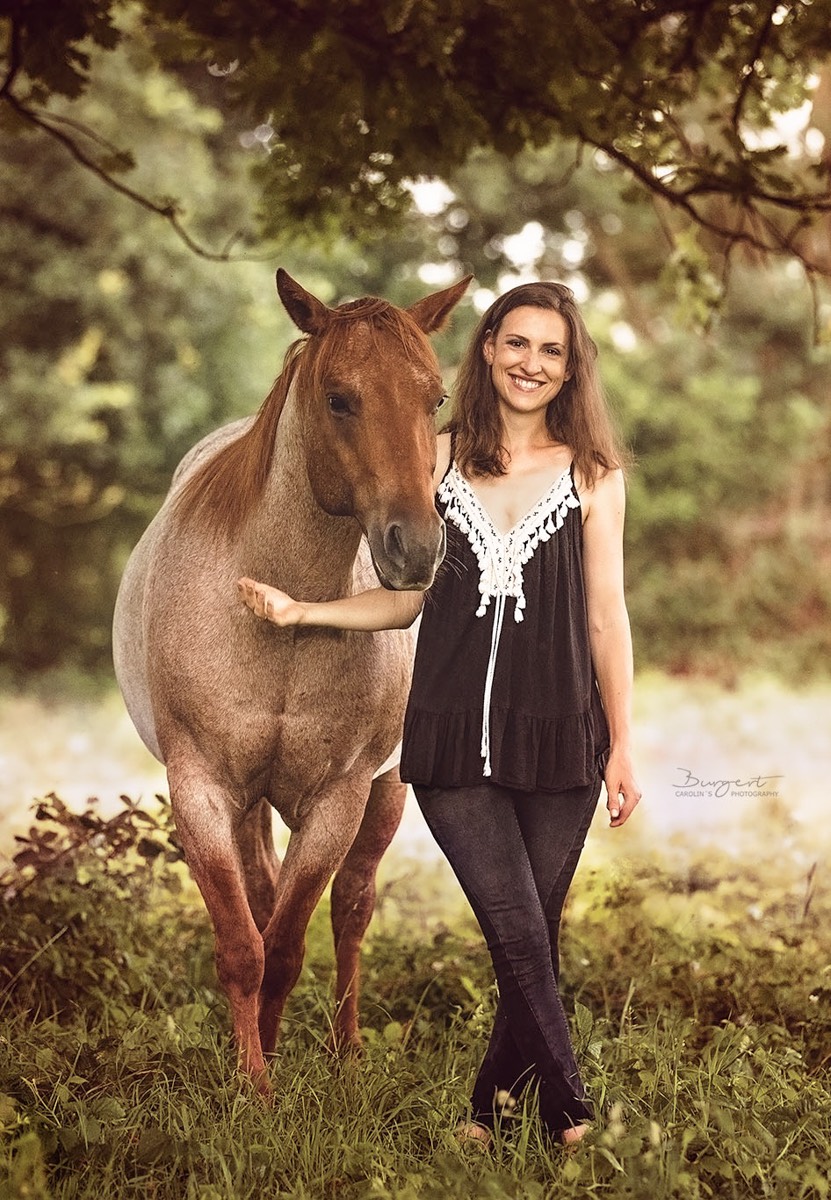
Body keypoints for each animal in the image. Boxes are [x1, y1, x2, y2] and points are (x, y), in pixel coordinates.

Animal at [113, 267, 470, 1094]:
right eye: (338, 398)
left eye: (435, 398)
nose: (416, 550)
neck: (281, 615)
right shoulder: (202, 791)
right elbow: (244, 943)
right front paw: (252, 1083)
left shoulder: (337, 798)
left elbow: (286, 942)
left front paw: (270, 1068)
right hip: (248, 805)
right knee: (263, 896)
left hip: (385, 788)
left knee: (350, 909)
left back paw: (347, 1051)